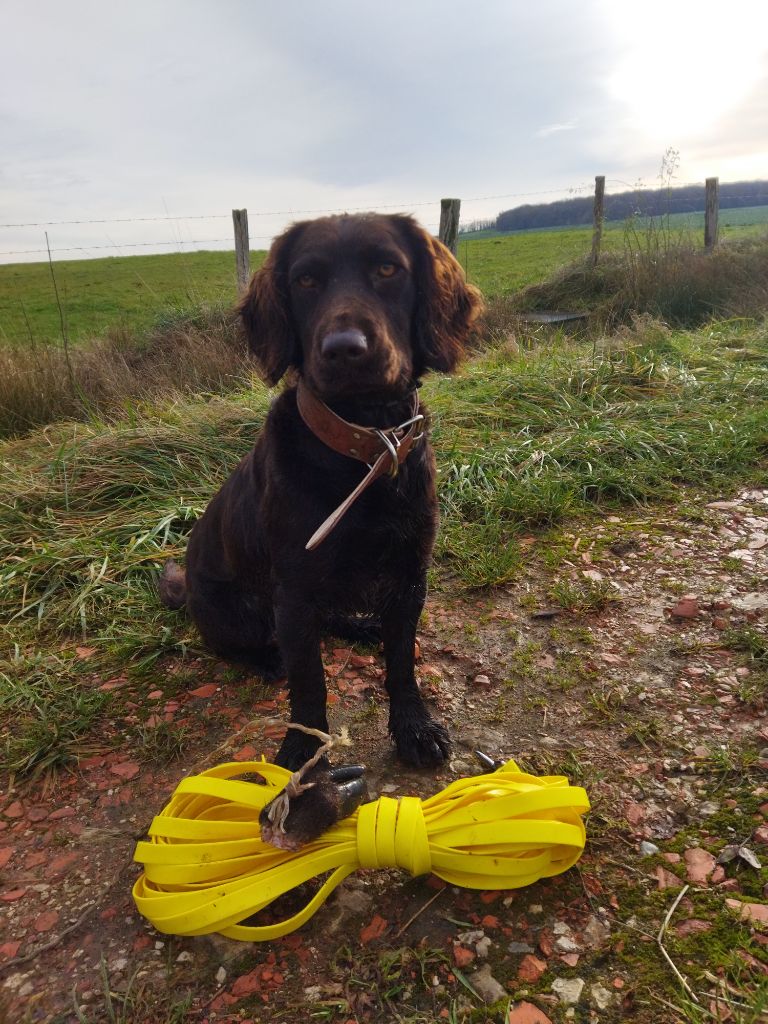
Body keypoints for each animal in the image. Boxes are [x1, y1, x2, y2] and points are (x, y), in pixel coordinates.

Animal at [161, 216, 481, 774]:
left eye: (387, 269)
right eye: (305, 280)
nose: (345, 349)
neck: (366, 449)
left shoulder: (409, 575)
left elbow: (402, 663)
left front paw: (414, 728)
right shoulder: (293, 589)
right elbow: (309, 682)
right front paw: (300, 754)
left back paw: (360, 627)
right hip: (236, 611)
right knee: (244, 647)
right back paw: (269, 657)